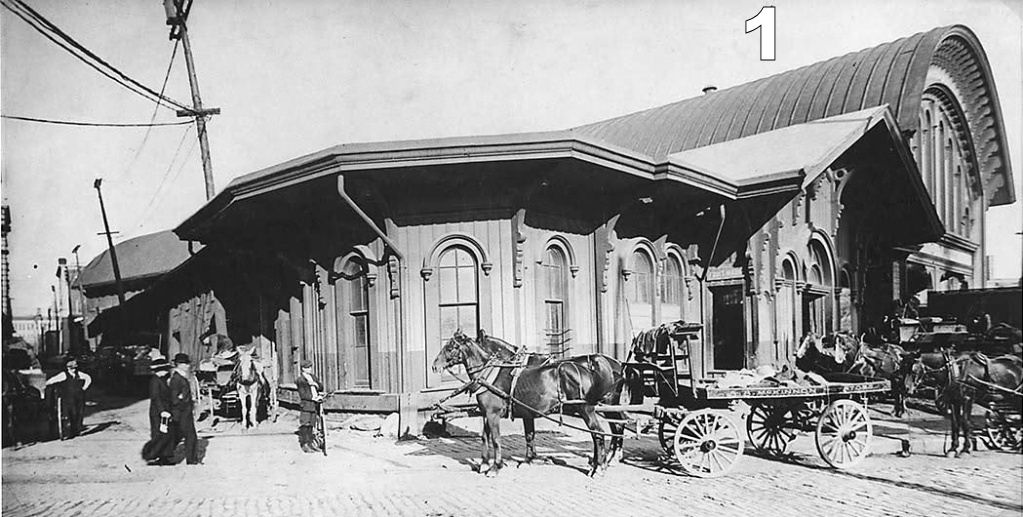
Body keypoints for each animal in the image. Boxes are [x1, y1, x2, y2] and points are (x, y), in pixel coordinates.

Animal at [432, 329, 626, 477]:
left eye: (450, 347)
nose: (434, 366)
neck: (490, 373)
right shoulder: (489, 413)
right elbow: (490, 437)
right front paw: (486, 463)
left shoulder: (494, 414)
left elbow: (496, 439)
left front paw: (496, 467)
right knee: (610, 429)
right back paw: (602, 461)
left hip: (587, 408)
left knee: (600, 433)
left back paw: (600, 466)